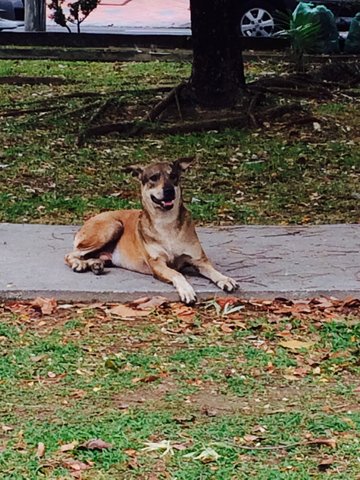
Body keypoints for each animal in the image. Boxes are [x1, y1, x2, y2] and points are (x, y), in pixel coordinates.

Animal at [64, 158, 239, 304]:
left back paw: (95, 264)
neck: (166, 222)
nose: (169, 190)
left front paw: (225, 279)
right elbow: (177, 274)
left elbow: (213, 270)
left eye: (173, 176)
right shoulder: (157, 264)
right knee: (71, 254)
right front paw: (186, 290)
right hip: (113, 226)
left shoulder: (198, 260)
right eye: (153, 178)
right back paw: (79, 264)